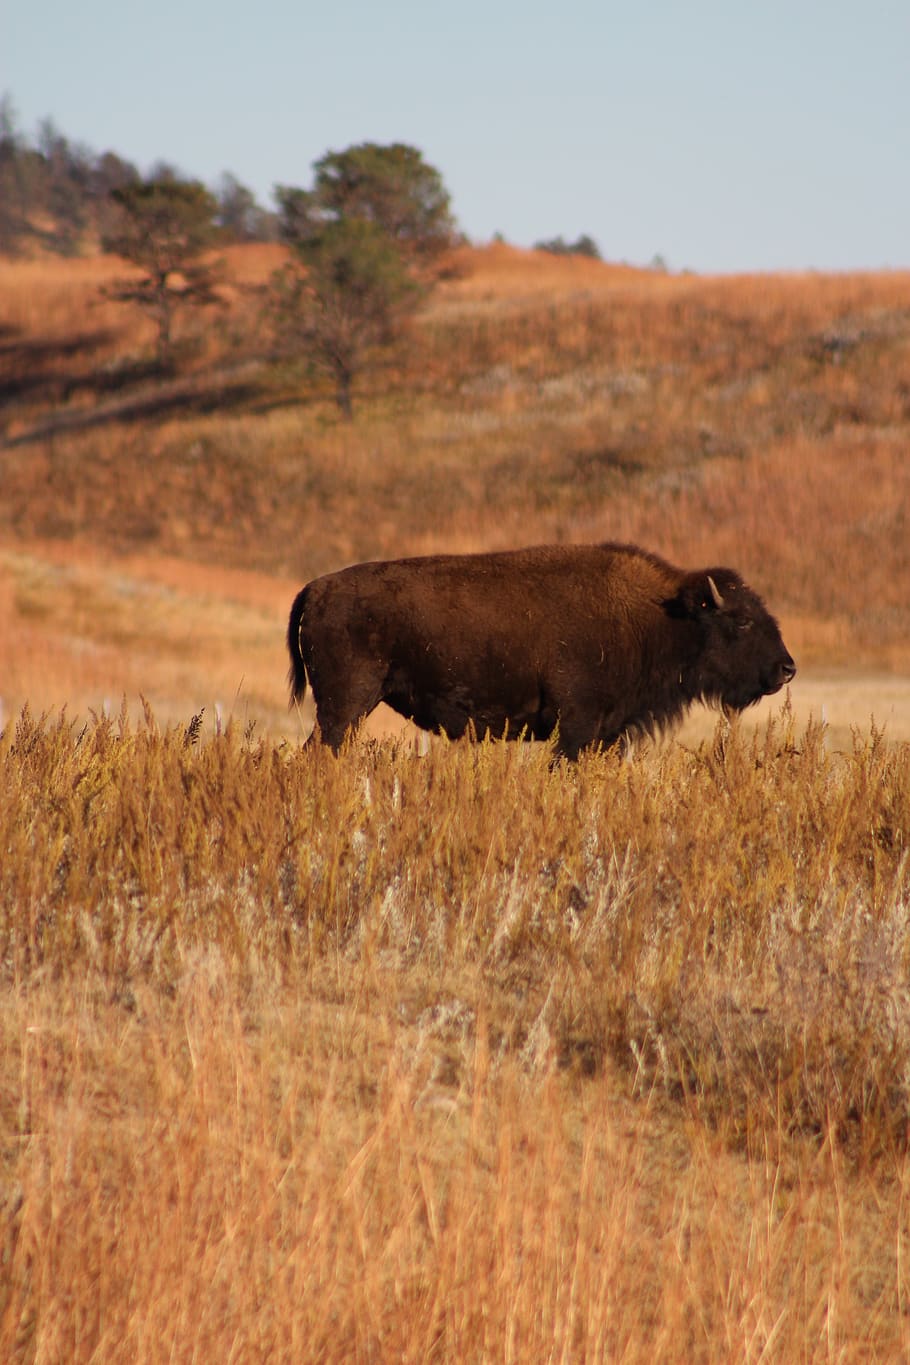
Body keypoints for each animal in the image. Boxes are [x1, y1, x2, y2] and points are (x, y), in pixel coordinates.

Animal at [287, 542, 796, 759]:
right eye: (742, 620)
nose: (786, 669)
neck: (660, 616)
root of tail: (316, 588)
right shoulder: (577, 725)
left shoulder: (606, 732)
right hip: (346, 706)